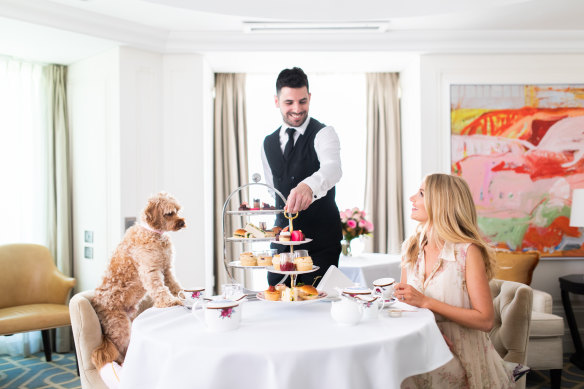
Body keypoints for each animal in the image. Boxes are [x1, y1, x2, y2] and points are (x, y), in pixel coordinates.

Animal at [90, 192, 185, 368]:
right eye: (169, 213)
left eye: (177, 211)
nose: (182, 222)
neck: (154, 233)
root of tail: (96, 302)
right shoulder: (150, 270)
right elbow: (159, 288)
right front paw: (169, 302)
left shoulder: (167, 269)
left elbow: (174, 285)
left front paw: (182, 295)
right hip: (120, 327)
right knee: (120, 352)